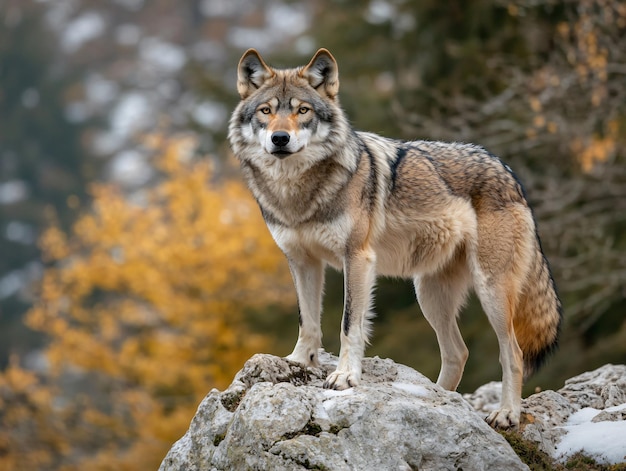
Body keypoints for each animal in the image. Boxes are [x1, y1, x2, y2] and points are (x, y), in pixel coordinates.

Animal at [228, 48, 560, 432]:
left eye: (303, 110)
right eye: (266, 111)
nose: (280, 139)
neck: (297, 193)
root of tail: (509, 172)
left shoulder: (356, 258)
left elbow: (349, 324)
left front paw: (345, 376)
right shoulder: (301, 261)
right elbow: (307, 320)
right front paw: (298, 362)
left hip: (490, 289)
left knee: (513, 353)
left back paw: (506, 413)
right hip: (429, 295)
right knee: (458, 352)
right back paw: (438, 400)